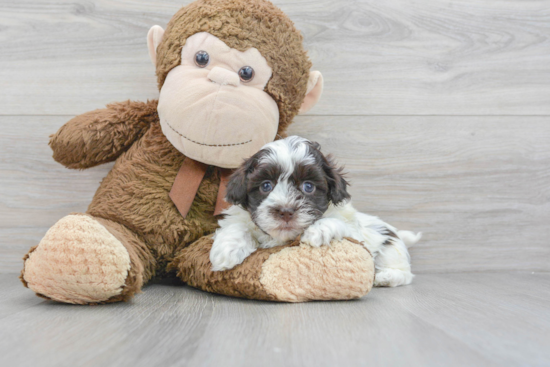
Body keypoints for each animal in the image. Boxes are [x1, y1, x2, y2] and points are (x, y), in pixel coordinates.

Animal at [211, 137, 422, 288]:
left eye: (308, 186)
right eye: (266, 185)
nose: (286, 212)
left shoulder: (355, 235)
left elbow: (338, 223)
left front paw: (319, 229)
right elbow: (236, 226)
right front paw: (227, 249)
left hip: (390, 246)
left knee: (404, 272)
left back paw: (386, 276)